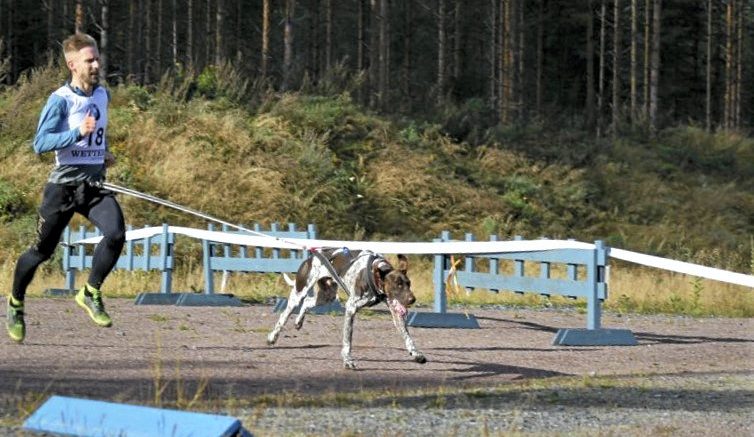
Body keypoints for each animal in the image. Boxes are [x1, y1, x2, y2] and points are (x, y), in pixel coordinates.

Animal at [268, 249, 426, 368]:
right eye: (397, 284)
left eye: (408, 283)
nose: (412, 299)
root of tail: (312, 256)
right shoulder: (351, 309)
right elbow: (347, 340)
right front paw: (347, 360)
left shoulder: (396, 312)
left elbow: (407, 337)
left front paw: (415, 353)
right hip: (298, 293)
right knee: (284, 315)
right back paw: (272, 337)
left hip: (327, 296)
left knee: (307, 302)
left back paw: (299, 321)